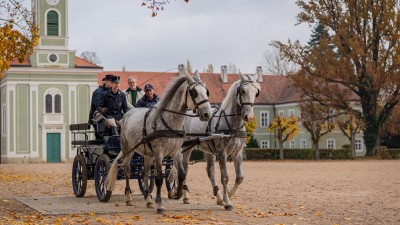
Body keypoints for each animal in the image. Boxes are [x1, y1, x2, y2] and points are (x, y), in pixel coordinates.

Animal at [106, 72, 212, 214]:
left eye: (206, 91)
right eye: (193, 92)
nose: (207, 114)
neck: (169, 122)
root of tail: (128, 112)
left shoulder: (176, 152)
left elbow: (181, 174)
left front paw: (176, 194)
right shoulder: (158, 153)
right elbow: (159, 178)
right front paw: (160, 204)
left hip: (147, 154)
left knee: (145, 174)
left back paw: (149, 200)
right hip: (127, 149)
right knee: (127, 171)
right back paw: (129, 198)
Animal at [178, 72, 260, 211]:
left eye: (256, 92)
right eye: (243, 91)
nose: (248, 117)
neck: (232, 125)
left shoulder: (237, 153)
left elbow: (239, 177)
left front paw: (229, 195)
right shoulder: (222, 153)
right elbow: (225, 177)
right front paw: (228, 202)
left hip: (208, 151)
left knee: (210, 172)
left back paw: (219, 197)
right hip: (187, 147)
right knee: (185, 167)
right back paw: (186, 196)